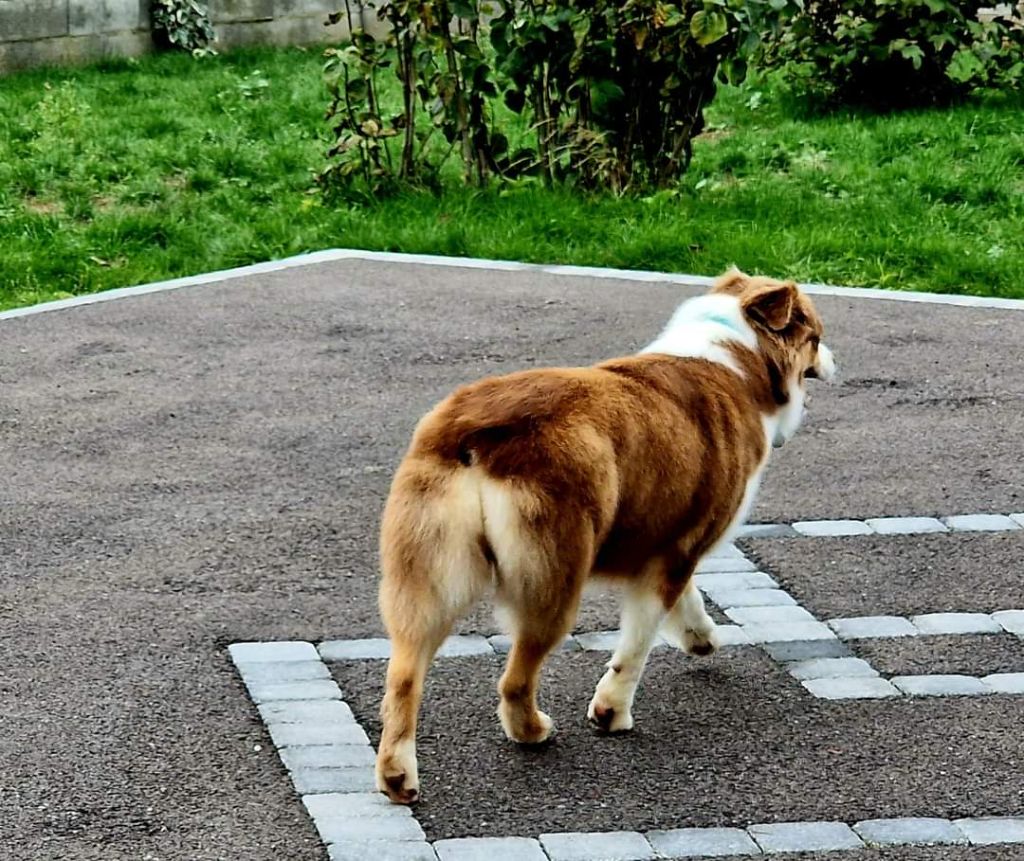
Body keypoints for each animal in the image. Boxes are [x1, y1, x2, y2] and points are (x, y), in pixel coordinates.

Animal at [372, 266, 835, 798]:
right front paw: (612, 713)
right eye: (815, 336)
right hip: (552, 577)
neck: (739, 352)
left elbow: (688, 598)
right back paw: (532, 731)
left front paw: (701, 638)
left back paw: (397, 776)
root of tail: (476, 432)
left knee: (403, 676)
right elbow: (636, 644)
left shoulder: (670, 539)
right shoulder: (678, 549)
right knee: (515, 678)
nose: (835, 358)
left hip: (426, 576)